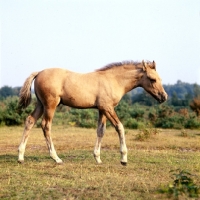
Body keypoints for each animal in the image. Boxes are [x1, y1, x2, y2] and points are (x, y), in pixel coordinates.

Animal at [18, 59, 167, 166]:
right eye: (152, 79)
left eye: (160, 79)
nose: (164, 97)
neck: (113, 80)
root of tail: (39, 72)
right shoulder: (108, 108)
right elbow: (120, 127)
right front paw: (124, 158)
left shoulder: (102, 109)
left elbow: (101, 131)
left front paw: (98, 158)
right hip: (50, 105)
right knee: (46, 125)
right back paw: (56, 158)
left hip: (41, 104)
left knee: (30, 121)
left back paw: (20, 156)